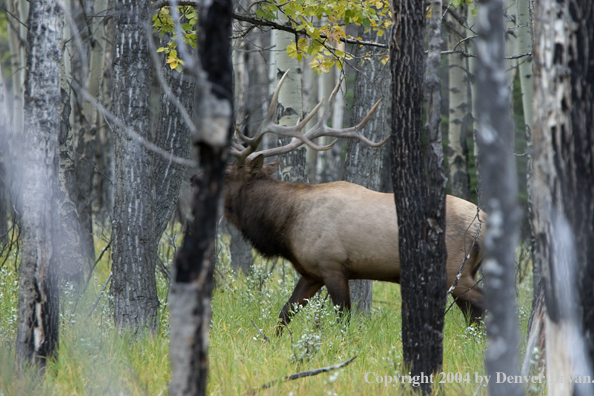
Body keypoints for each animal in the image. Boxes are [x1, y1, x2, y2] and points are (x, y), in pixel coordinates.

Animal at [224, 71, 484, 332]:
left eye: (226, 172)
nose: (203, 179)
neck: (284, 226)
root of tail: (482, 223)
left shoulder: (332, 265)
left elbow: (343, 320)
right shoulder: (311, 273)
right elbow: (284, 314)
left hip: (454, 270)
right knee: (475, 316)